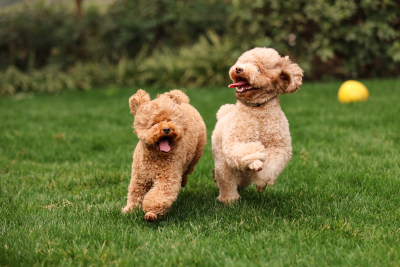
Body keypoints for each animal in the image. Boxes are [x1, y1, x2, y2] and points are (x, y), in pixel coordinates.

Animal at [122, 90, 206, 222]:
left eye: (170, 120)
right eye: (154, 123)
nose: (166, 129)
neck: (155, 156)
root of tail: (184, 102)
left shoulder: (167, 178)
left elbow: (159, 195)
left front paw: (151, 212)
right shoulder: (139, 178)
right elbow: (135, 193)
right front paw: (130, 210)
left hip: (196, 154)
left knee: (188, 169)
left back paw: (183, 180)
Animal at [212, 47, 304, 203]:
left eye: (258, 69)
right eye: (242, 62)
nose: (238, 69)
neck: (257, 109)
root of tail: (224, 112)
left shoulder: (279, 146)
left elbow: (270, 167)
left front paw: (261, 182)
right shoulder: (234, 142)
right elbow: (246, 151)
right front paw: (255, 161)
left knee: (241, 180)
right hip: (222, 161)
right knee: (226, 180)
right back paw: (229, 199)